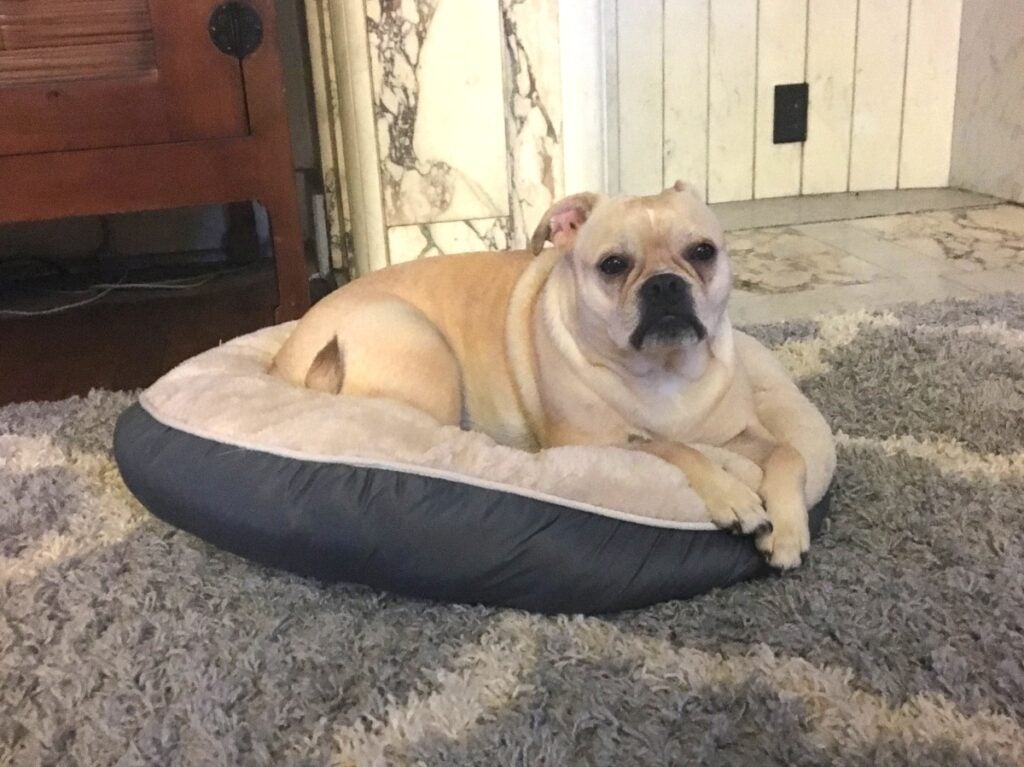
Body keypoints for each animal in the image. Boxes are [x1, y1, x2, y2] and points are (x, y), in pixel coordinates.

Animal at [272, 182, 806, 569]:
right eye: (613, 265)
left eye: (702, 252)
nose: (665, 285)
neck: (663, 368)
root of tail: (281, 361)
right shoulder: (595, 444)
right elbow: (673, 448)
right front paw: (733, 496)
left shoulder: (740, 436)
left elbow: (788, 451)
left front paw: (788, 525)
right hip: (422, 344)